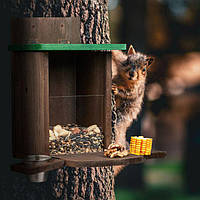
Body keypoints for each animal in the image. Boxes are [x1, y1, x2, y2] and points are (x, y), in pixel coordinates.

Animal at [111, 45, 154, 175]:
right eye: (128, 61)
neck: (126, 80)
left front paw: (117, 90)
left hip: (121, 116)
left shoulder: (135, 89)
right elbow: (117, 55)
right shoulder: (120, 61)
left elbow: (127, 93)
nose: (132, 73)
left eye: (144, 69)